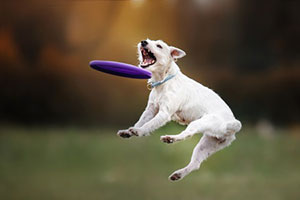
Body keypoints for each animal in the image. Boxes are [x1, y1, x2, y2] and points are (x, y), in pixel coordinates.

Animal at [117, 39, 241, 181]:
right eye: (148, 40)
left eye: (159, 46)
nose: (143, 42)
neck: (164, 81)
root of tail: (229, 124)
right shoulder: (150, 110)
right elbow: (140, 122)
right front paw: (128, 131)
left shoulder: (163, 114)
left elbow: (148, 125)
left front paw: (139, 131)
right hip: (208, 144)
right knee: (195, 164)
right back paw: (178, 174)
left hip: (200, 123)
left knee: (186, 134)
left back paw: (170, 138)